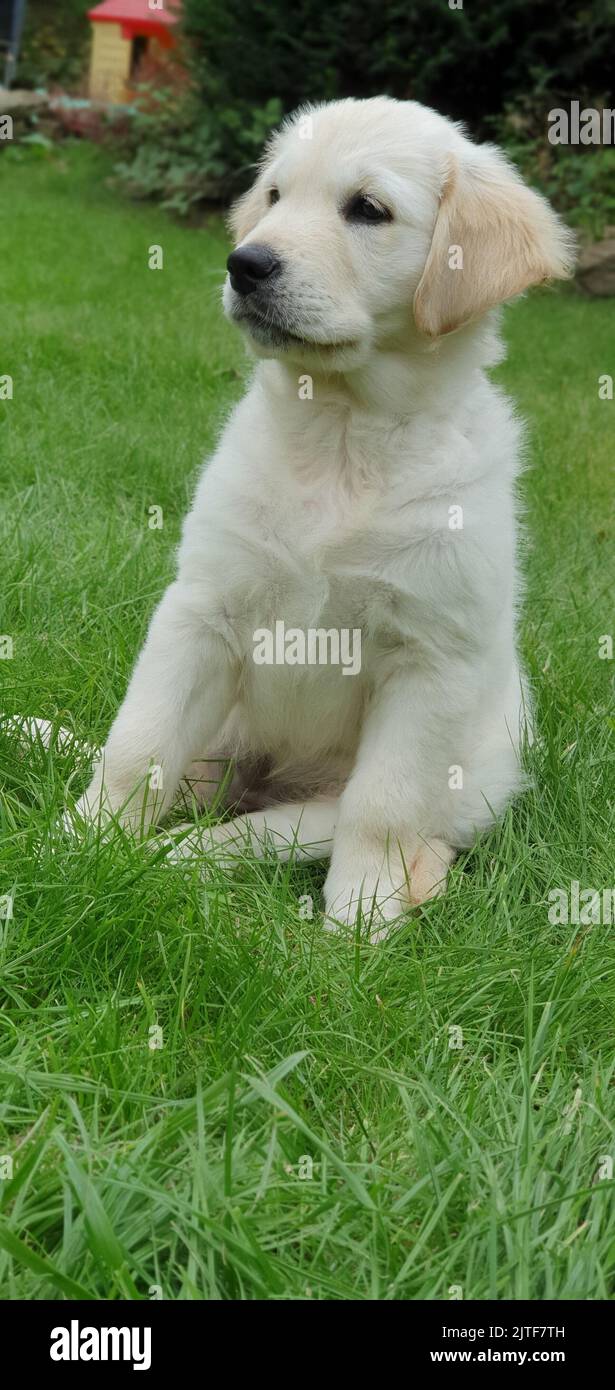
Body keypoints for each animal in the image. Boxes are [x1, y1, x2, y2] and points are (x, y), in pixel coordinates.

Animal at [74, 100, 573, 934]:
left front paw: (360, 922)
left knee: (282, 830)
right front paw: (73, 847)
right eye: (275, 196)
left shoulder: (429, 660)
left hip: (469, 782)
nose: (244, 264)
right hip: (228, 737)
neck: (342, 432)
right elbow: (135, 746)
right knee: (191, 786)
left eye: (367, 209)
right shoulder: (200, 610)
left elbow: (382, 806)